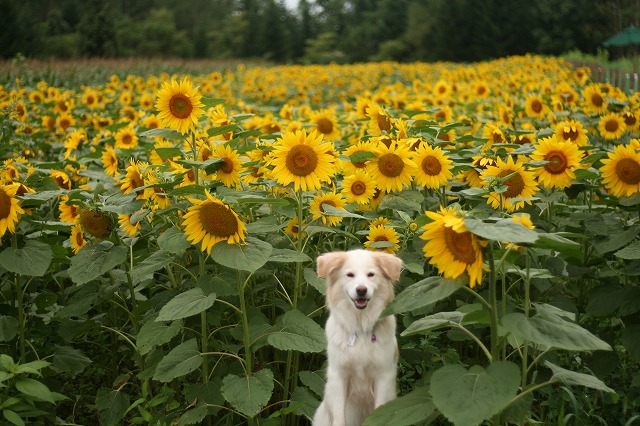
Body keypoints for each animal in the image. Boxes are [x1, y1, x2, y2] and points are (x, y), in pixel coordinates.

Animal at [312, 248, 402, 424]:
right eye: (350, 275)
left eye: (371, 274)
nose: (361, 290)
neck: (360, 328)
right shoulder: (339, 376)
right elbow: (339, 417)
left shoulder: (383, 376)